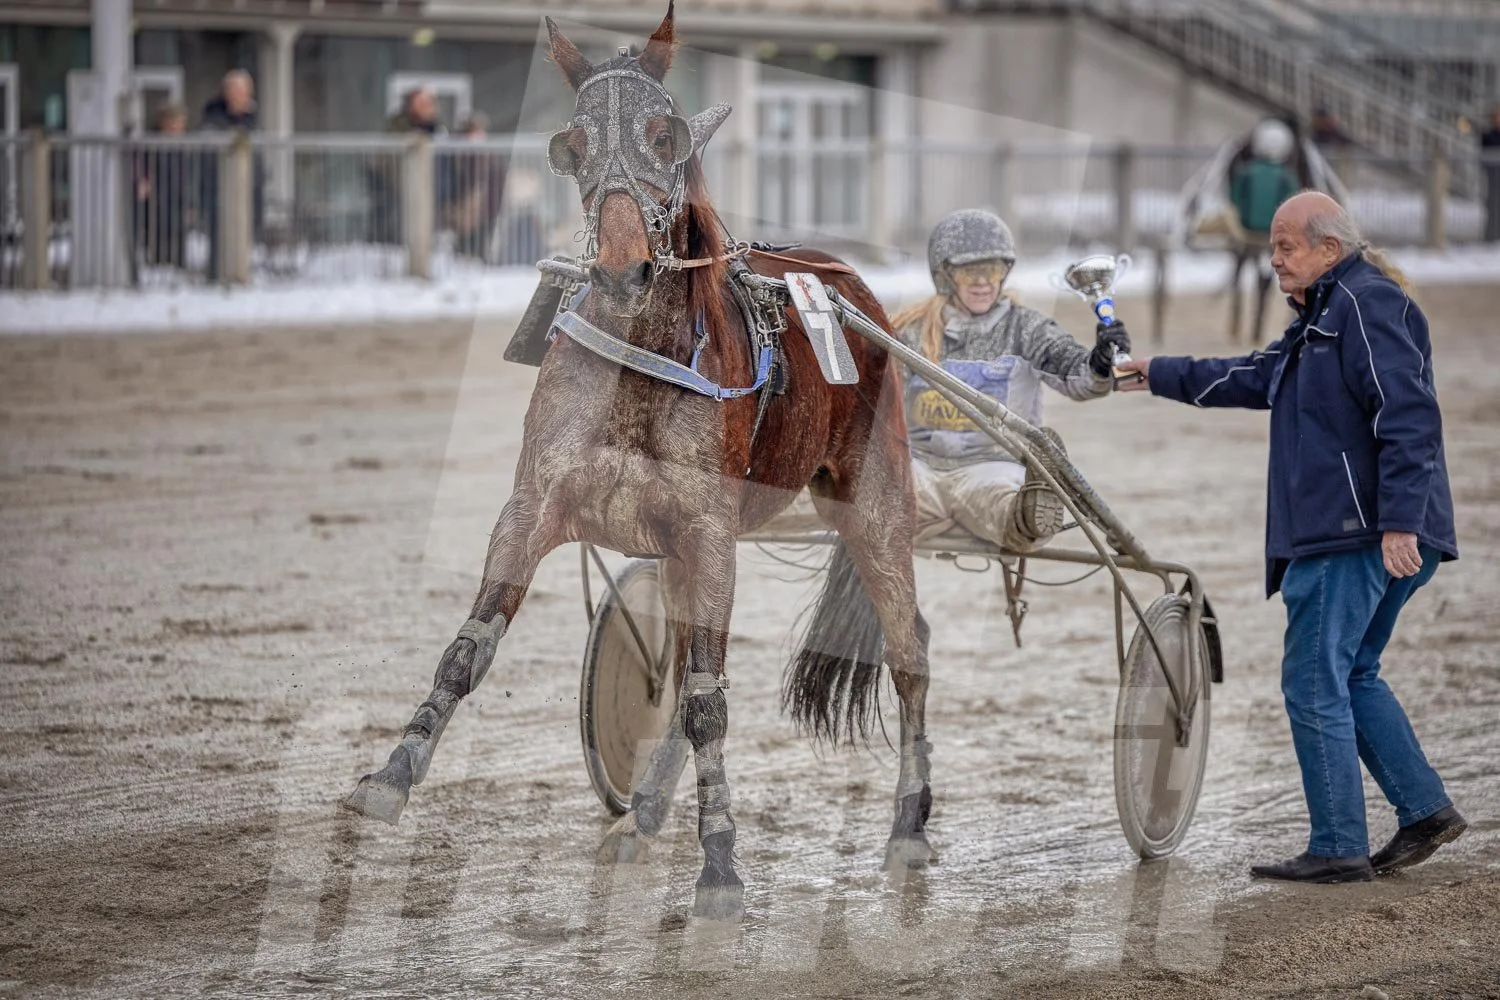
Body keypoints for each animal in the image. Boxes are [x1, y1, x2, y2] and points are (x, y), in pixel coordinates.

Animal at [344, 1, 933, 917]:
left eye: (665, 135)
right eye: (573, 143)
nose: (625, 266)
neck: (639, 365)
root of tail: (845, 283)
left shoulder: (709, 532)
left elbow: (707, 704)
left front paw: (720, 865)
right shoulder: (537, 506)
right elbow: (469, 652)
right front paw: (392, 776)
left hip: (872, 507)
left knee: (907, 652)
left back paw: (908, 825)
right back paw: (649, 807)